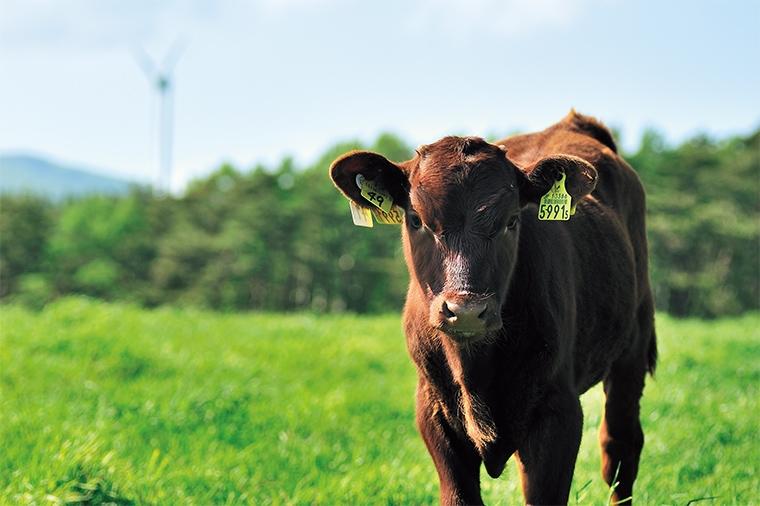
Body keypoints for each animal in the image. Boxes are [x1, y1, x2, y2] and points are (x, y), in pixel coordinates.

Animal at [330, 111, 656, 506]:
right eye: (416, 219)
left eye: (511, 221)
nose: (467, 310)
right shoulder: (434, 410)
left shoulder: (558, 411)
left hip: (632, 348)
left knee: (620, 449)